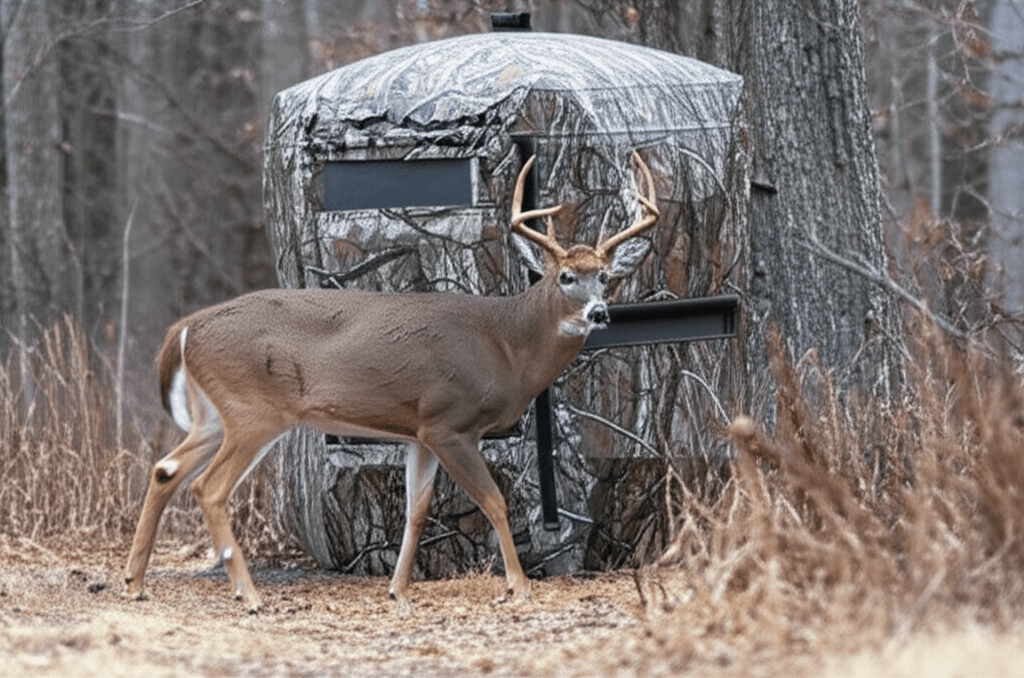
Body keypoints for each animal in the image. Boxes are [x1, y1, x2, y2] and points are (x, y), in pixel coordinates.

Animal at [124, 152, 659, 617]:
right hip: (254, 410)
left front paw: (397, 591)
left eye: (605, 276)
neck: (506, 344)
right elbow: (494, 501)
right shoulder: (450, 422)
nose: (600, 312)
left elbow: (416, 511)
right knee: (209, 488)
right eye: (566, 276)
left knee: (166, 469)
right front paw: (518, 585)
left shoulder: (418, 430)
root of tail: (188, 327)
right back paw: (248, 595)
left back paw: (134, 582)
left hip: (215, 413)